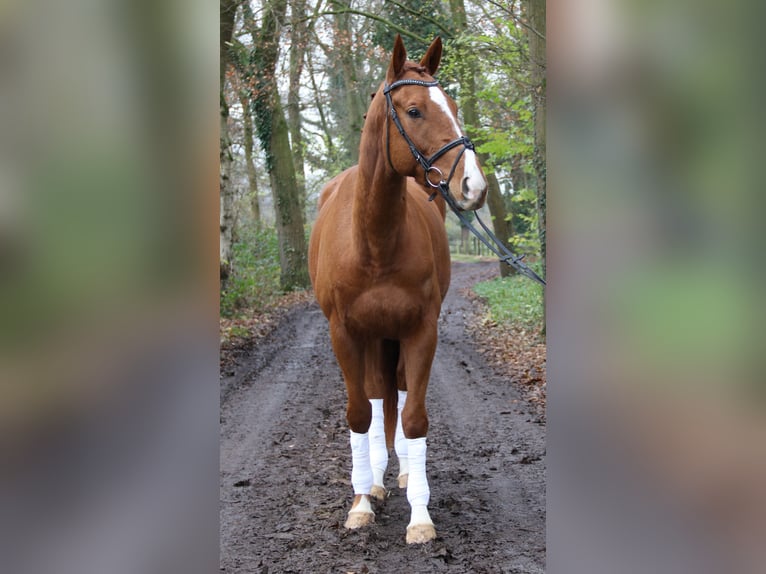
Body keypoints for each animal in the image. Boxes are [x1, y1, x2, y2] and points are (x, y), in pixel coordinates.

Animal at [308, 36, 488, 544]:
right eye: (413, 110)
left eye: (453, 107)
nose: (474, 185)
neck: (373, 242)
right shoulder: (345, 334)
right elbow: (359, 415)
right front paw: (360, 504)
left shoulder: (421, 331)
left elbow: (413, 418)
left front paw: (420, 516)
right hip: (371, 338)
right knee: (373, 400)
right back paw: (373, 479)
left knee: (400, 396)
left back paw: (404, 474)